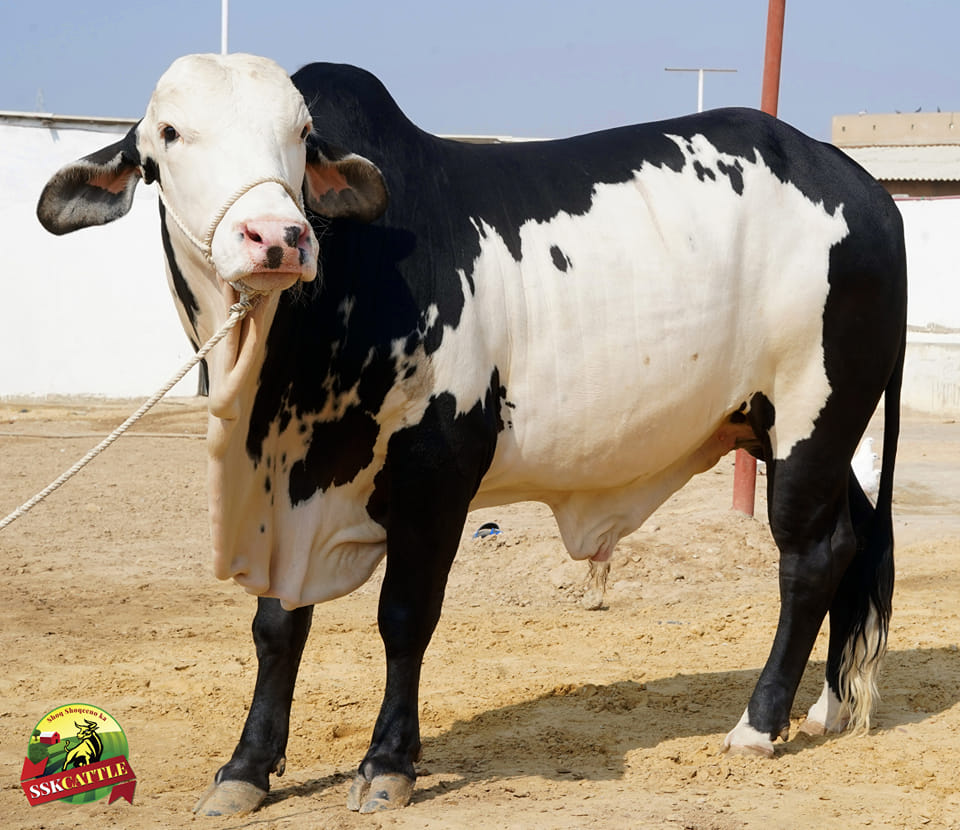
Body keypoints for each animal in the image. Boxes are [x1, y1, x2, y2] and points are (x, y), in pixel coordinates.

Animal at [36, 53, 906, 815]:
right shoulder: (287, 493)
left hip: (812, 418)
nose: (276, 236)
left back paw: (759, 725)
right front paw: (246, 769)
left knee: (809, 559)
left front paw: (388, 764)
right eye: (169, 134)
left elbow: (403, 618)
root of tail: (862, 184)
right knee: (853, 539)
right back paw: (827, 708)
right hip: (783, 428)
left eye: (301, 133)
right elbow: (278, 627)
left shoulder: (436, 476)